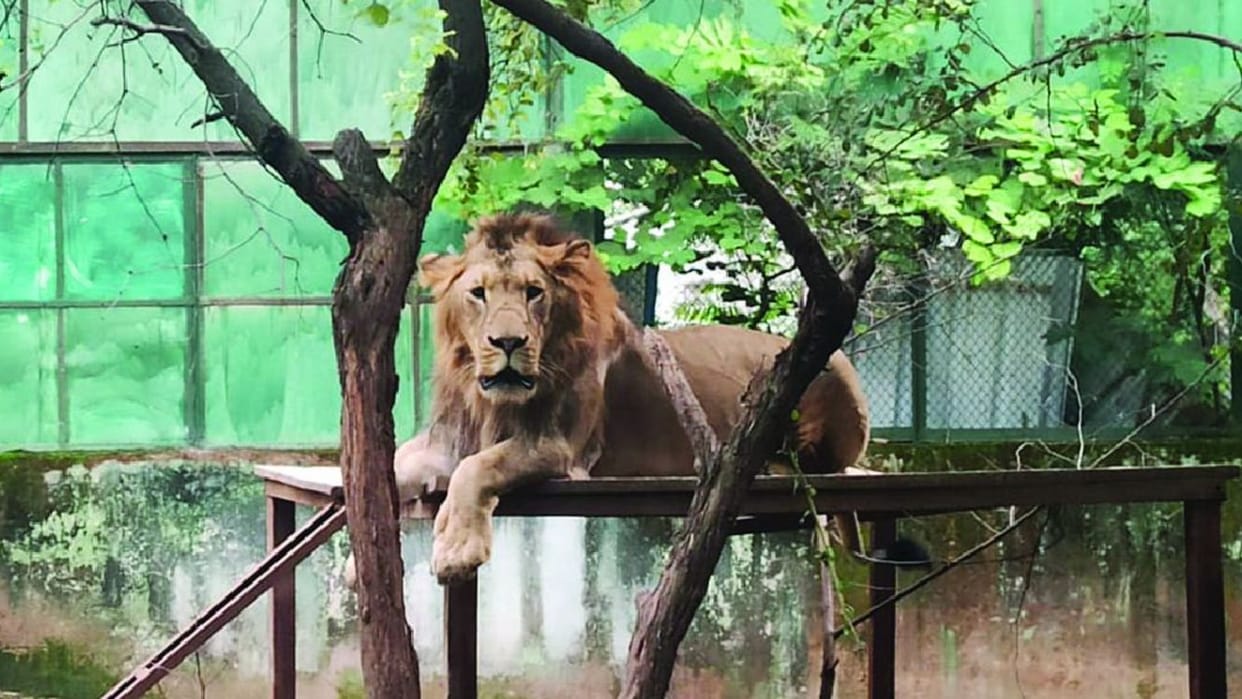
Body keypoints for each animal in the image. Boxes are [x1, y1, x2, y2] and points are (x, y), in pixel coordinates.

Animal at [346, 211, 921, 587]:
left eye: (533, 292)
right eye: (478, 294)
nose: (508, 343)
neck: (491, 399)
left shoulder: (562, 450)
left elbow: (478, 469)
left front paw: (457, 552)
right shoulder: (445, 442)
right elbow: (387, 470)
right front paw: (362, 557)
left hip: (834, 372)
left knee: (825, 466)